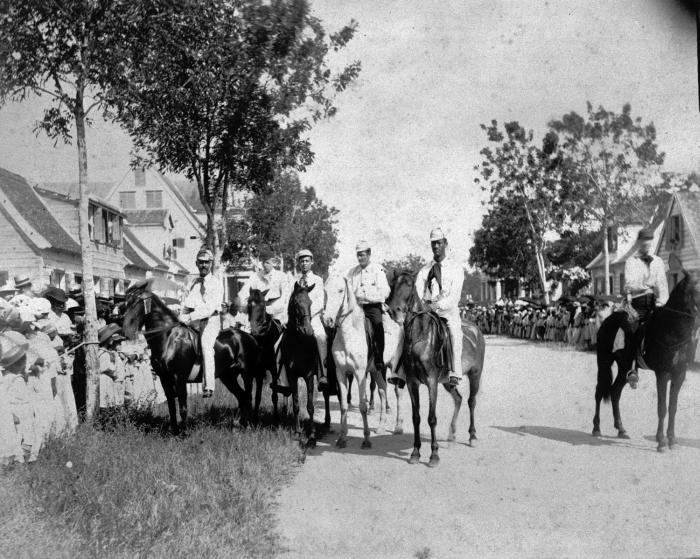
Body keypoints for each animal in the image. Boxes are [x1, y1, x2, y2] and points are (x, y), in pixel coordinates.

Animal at [120, 280, 262, 434]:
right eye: (125, 302)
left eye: (137, 301)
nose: (126, 330)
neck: (168, 339)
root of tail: (251, 337)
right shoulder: (165, 379)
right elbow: (171, 408)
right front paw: (175, 432)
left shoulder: (179, 378)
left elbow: (182, 408)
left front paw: (184, 433)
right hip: (228, 376)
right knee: (242, 397)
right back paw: (239, 426)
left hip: (246, 374)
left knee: (248, 397)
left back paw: (247, 426)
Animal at [386, 272, 484, 468]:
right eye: (392, 284)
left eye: (409, 284)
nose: (394, 311)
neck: (420, 338)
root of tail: (476, 329)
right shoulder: (412, 382)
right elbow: (416, 417)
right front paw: (415, 453)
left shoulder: (432, 382)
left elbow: (432, 418)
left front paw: (434, 455)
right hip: (447, 381)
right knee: (458, 399)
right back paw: (452, 436)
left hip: (475, 374)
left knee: (471, 401)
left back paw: (472, 436)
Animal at [592, 256, 700, 452]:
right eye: (696, 288)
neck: (672, 329)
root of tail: (607, 321)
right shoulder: (662, 373)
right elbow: (662, 408)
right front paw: (661, 442)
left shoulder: (680, 373)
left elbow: (673, 407)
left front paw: (672, 440)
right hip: (603, 361)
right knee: (599, 391)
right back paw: (596, 428)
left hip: (625, 366)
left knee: (615, 392)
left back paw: (621, 429)